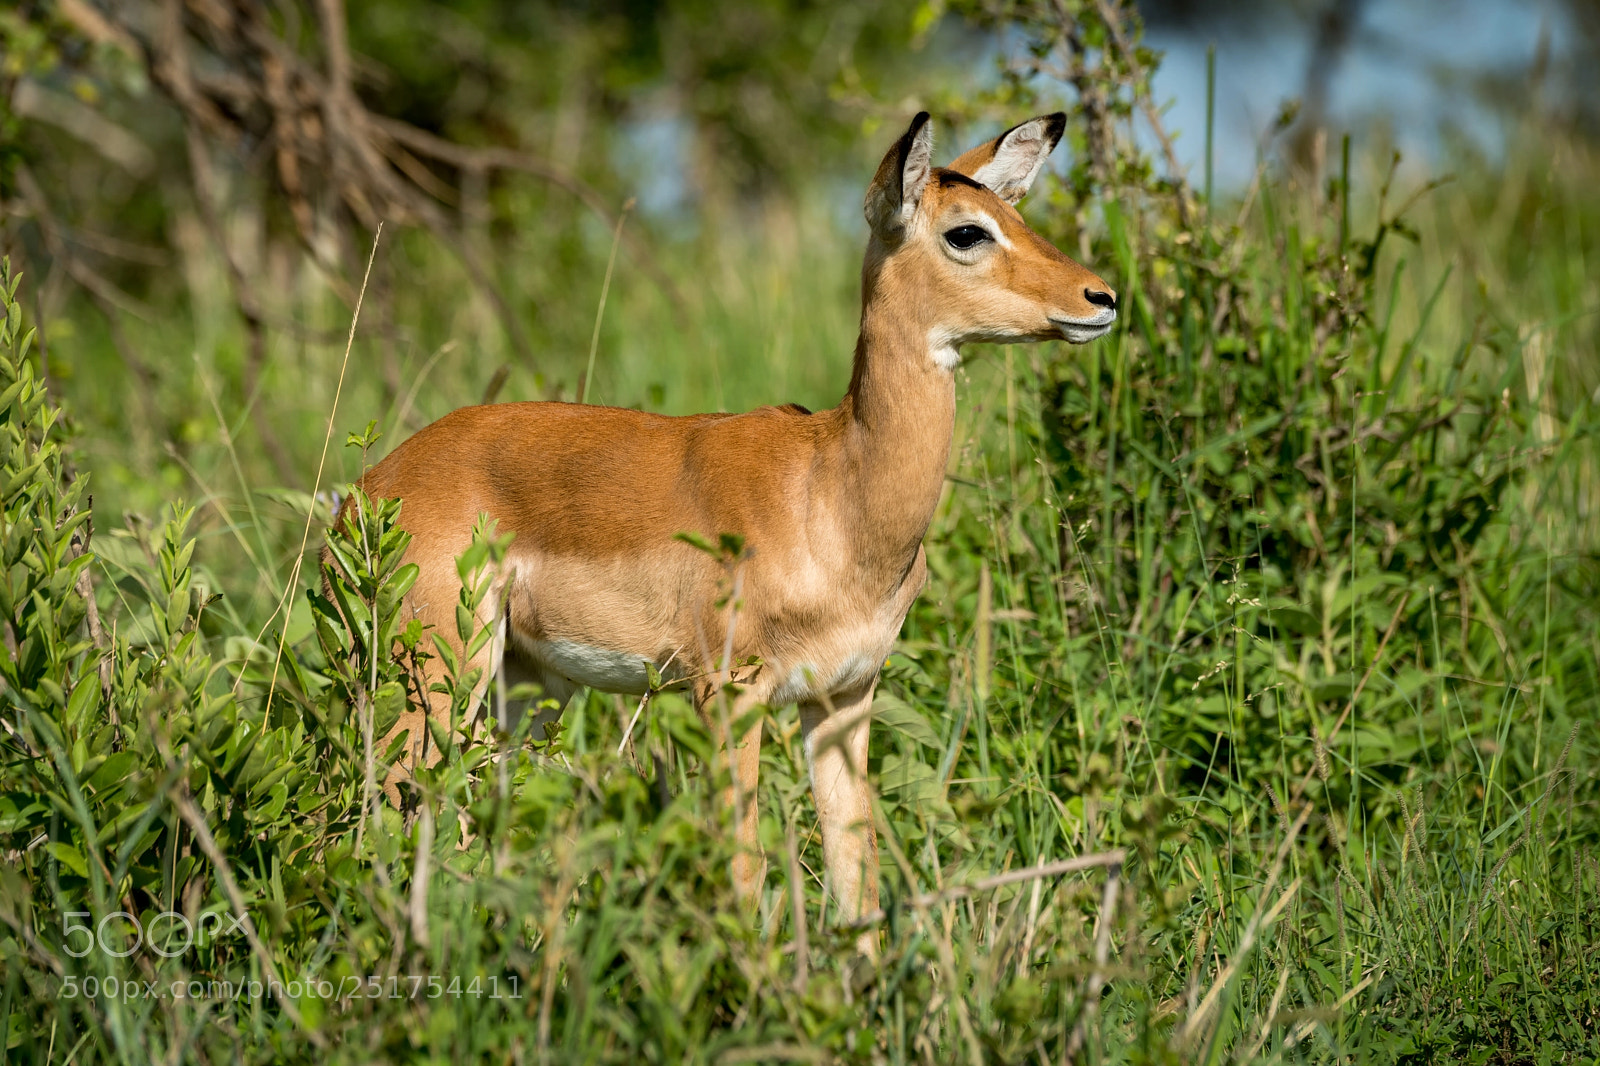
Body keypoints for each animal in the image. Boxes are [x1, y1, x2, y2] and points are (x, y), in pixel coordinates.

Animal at [345, 111, 1116, 951]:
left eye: (1018, 215)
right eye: (967, 231)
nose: (1101, 296)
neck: (831, 493)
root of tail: (370, 486)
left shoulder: (846, 697)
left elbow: (857, 878)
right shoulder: (727, 694)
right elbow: (744, 874)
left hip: (524, 686)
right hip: (436, 678)